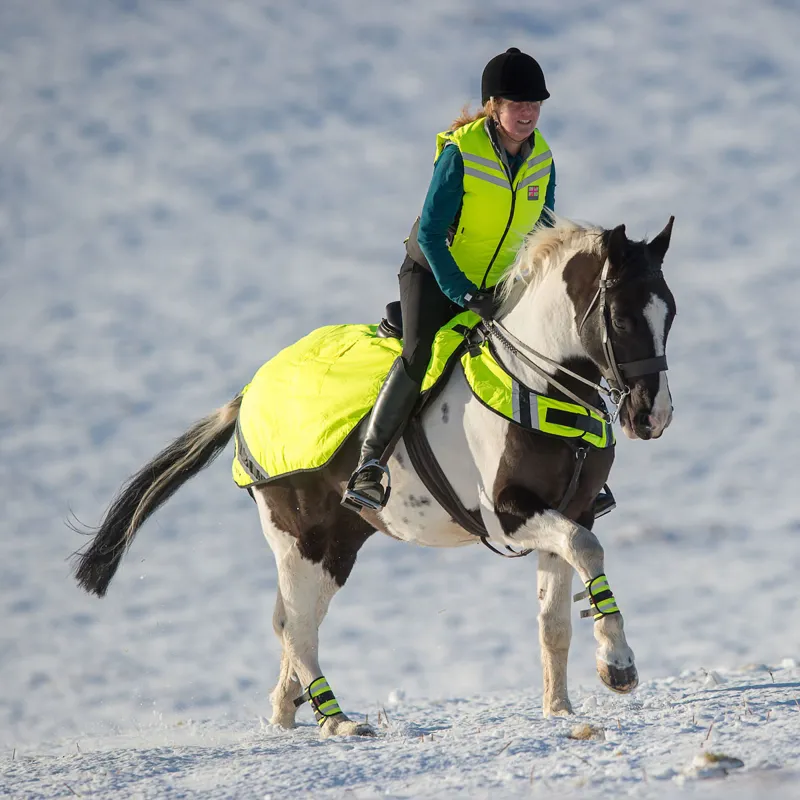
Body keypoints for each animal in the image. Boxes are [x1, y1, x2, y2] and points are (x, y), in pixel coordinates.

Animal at [74, 216, 677, 738]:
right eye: (622, 319)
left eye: (669, 314)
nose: (653, 416)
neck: (537, 382)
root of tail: (246, 396)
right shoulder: (508, 517)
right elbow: (589, 549)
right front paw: (619, 665)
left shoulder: (568, 509)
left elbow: (555, 617)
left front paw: (560, 708)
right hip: (298, 537)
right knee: (298, 626)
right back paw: (336, 719)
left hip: (338, 542)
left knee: (291, 622)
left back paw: (287, 713)